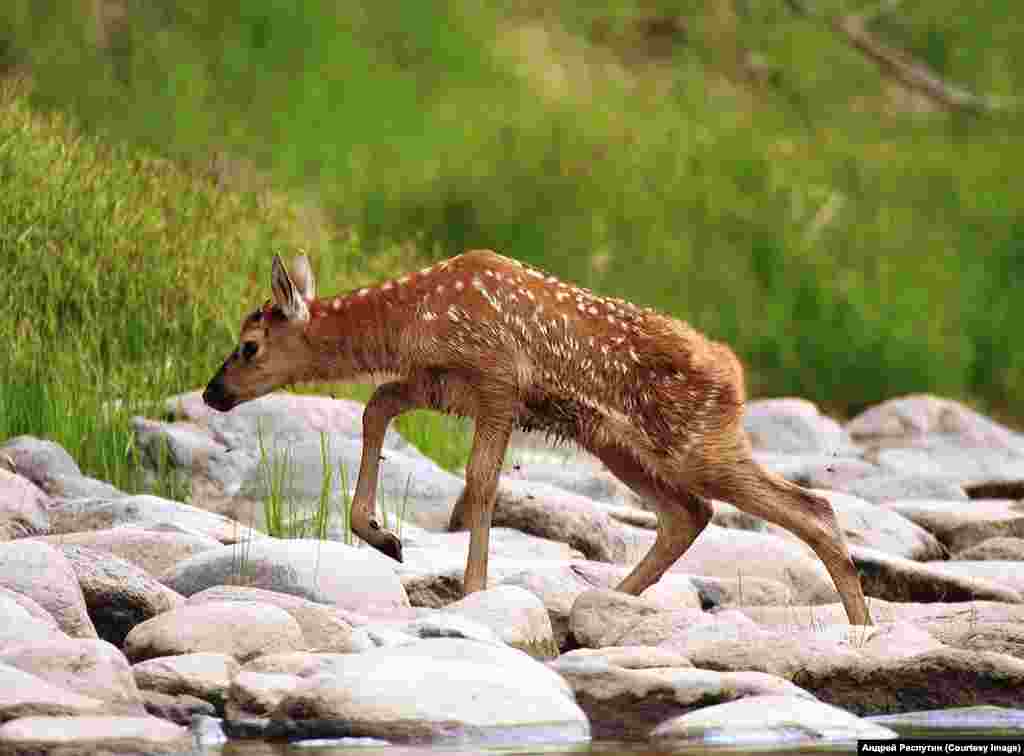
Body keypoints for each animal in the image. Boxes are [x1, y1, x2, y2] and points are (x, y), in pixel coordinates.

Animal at [201, 248, 872, 622]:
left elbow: (480, 482)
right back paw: (609, 601)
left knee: (810, 507)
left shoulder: (497, 381)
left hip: (697, 442)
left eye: (249, 345)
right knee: (691, 513)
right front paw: (382, 536)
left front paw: (472, 589)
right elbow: (375, 408)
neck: (417, 318)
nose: (212, 393)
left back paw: (862, 626)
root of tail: (735, 374)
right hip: (618, 444)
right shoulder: (443, 383)